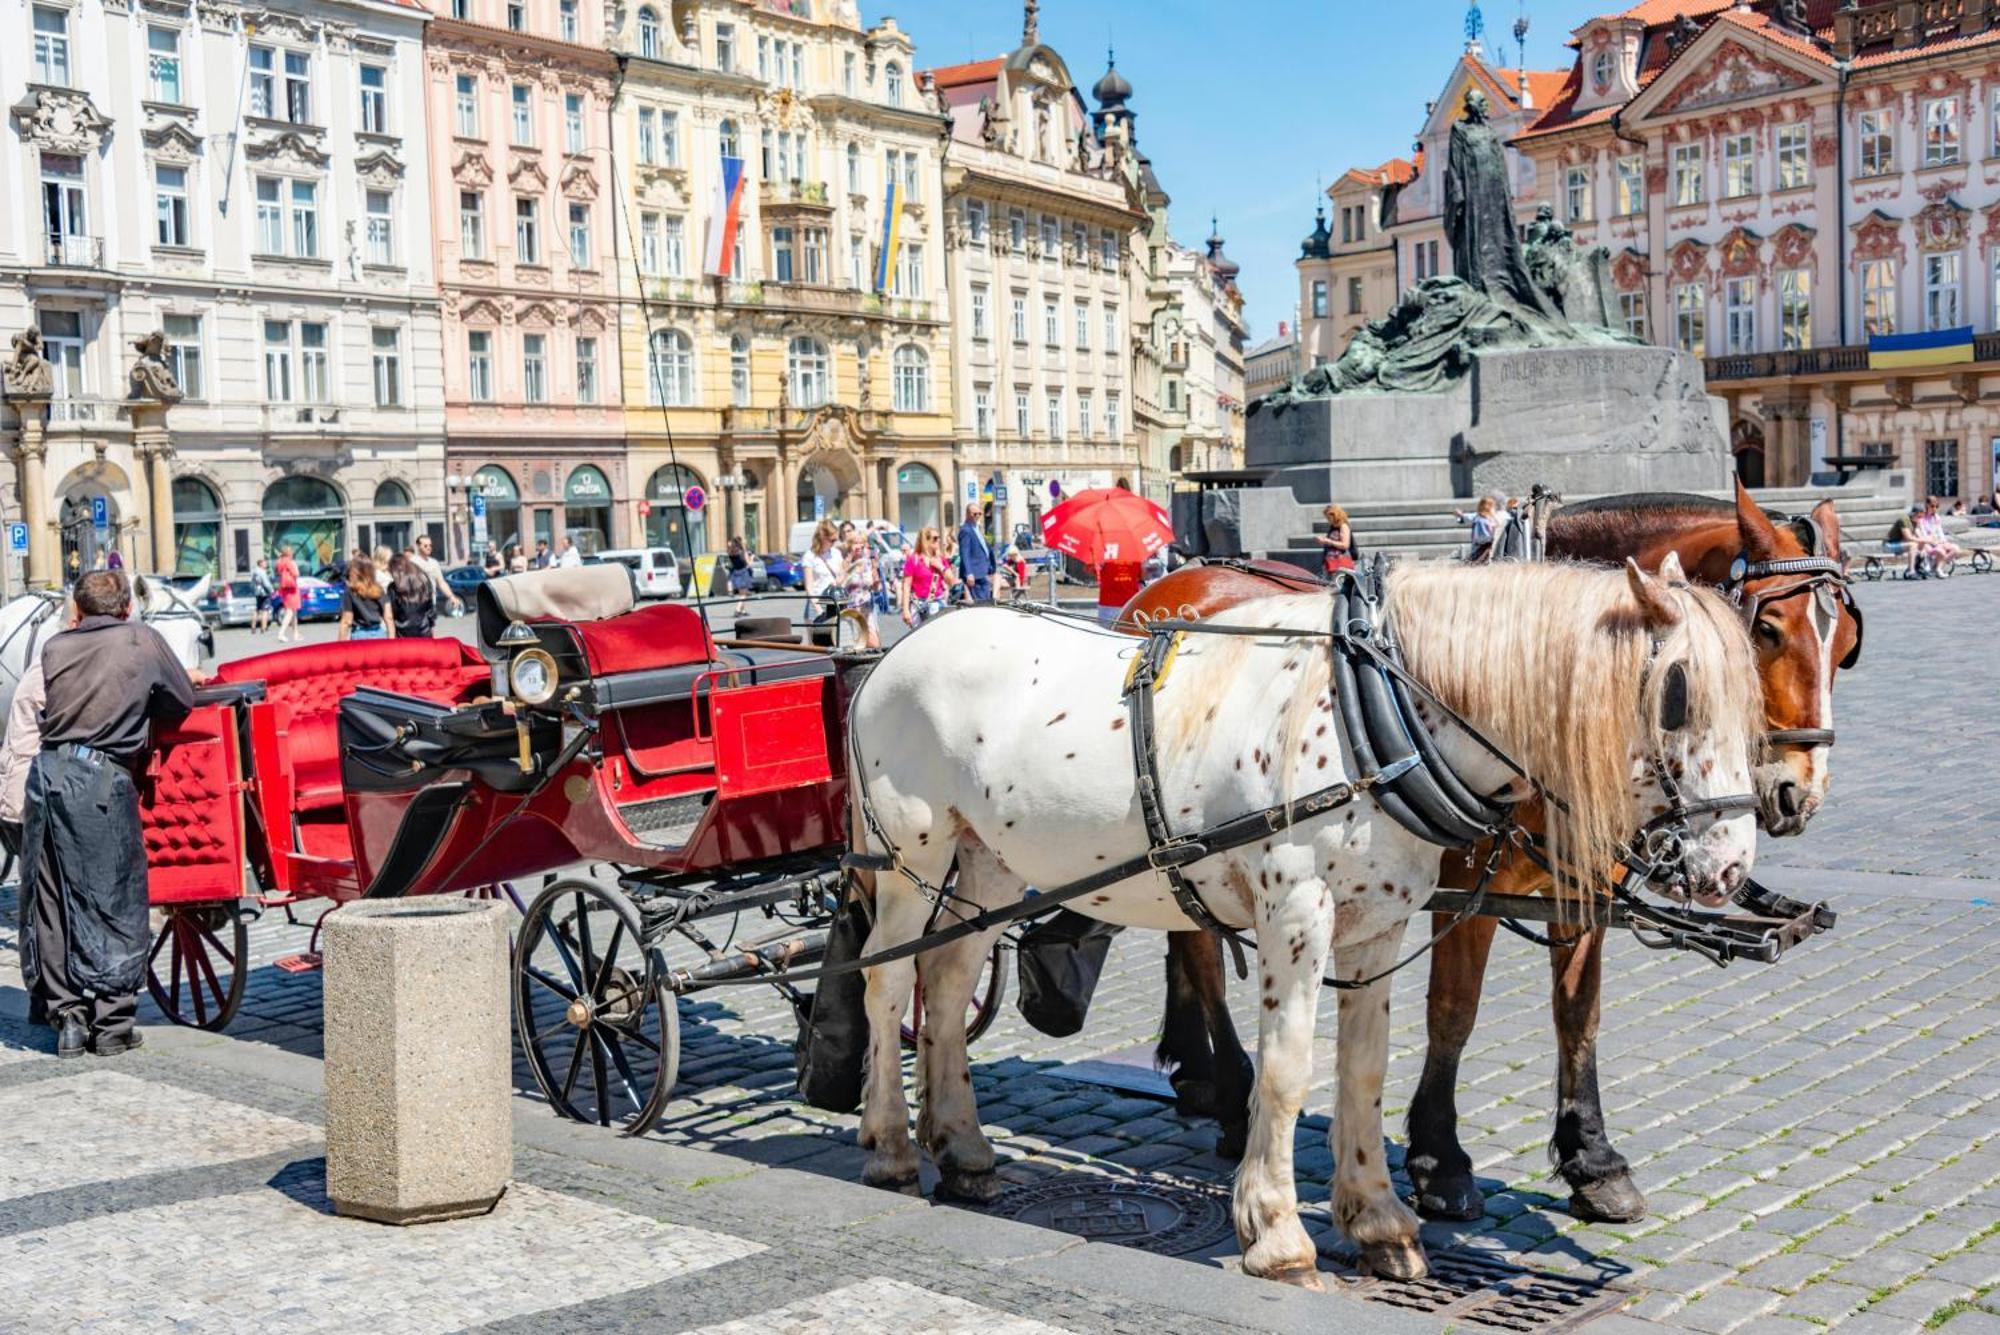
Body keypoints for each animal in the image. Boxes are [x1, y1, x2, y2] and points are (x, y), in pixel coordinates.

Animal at [844, 551, 1768, 1279]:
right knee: (886, 985)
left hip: (990, 867)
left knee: (947, 986)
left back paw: (962, 1147)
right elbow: (1289, 1070)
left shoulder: (1379, 926)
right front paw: (1277, 1228)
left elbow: (1364, 1070)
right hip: (912, 860)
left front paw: (1379, 1218)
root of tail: (891, 653)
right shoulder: (1295, 916)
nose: (1730, 865)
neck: (1379, 713)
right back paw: (890, 1141)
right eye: (1677, 695)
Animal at [1128, 481, 1856, 1207]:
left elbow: (1578, 1009)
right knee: (1201, 955)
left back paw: (1196, 1071)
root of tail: (1173, 579)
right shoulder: (1463, 888)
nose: (1798, 794)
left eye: (1847, 643)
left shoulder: (1581, 886)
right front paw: (1439, 1158)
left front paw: (1592, 1155)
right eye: (1766, 630)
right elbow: (1454, 1010)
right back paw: (1231, 1096)